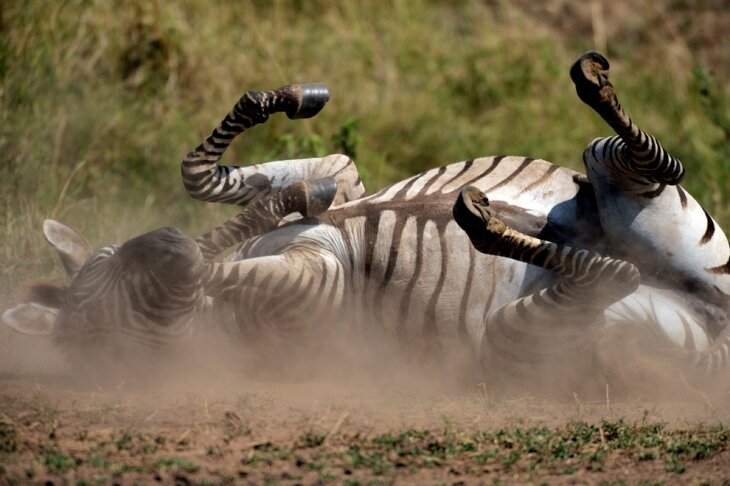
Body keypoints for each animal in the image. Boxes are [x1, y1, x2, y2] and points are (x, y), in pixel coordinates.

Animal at [2, 51, 724, 390]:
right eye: (106, 331)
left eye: (110, 267)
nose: (160, 241)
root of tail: (713, 344)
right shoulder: (312, 286)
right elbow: (219, 251)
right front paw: (269, 212)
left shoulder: (345, 176)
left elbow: (201, 175)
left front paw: (292, 119)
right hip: (517, 338)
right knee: (612, 274)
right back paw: (487, 223)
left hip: (633, 196)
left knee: (648, 168)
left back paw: (594, 87)